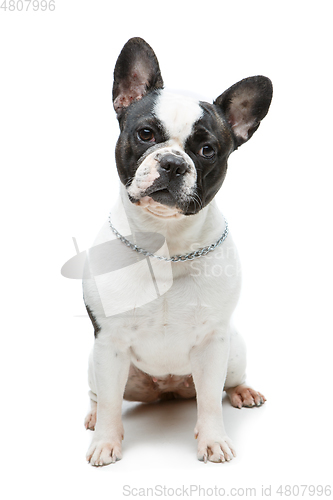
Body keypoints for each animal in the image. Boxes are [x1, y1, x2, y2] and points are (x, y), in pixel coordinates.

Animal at [81, 37, 272, 466]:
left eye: (207, 150)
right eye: (146, 134)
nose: (171, 163)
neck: (165, 244)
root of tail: (166, 389)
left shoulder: (214, 344)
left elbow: (210, 404)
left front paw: (213, 440)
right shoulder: (109, 344)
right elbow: (111, 407)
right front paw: (105, 440)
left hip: (234, 350)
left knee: (222, 386)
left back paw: (242, 391)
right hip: (96, 365)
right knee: (102, 396)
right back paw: (93, 415)